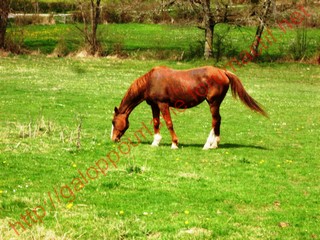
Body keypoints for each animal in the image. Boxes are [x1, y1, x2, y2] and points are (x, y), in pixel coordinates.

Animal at [111, 66, 266, 149]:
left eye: (113, 122)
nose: (113, 139)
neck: (151, 81)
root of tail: (222, 71)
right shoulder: (154, 105)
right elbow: (156, 123)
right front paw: (155, 142)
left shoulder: (163, 104)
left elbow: (169, 123)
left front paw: (174, 143)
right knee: (218, 120)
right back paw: (214, 144)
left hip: (213, 103)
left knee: (215, 120)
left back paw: (207, 145)